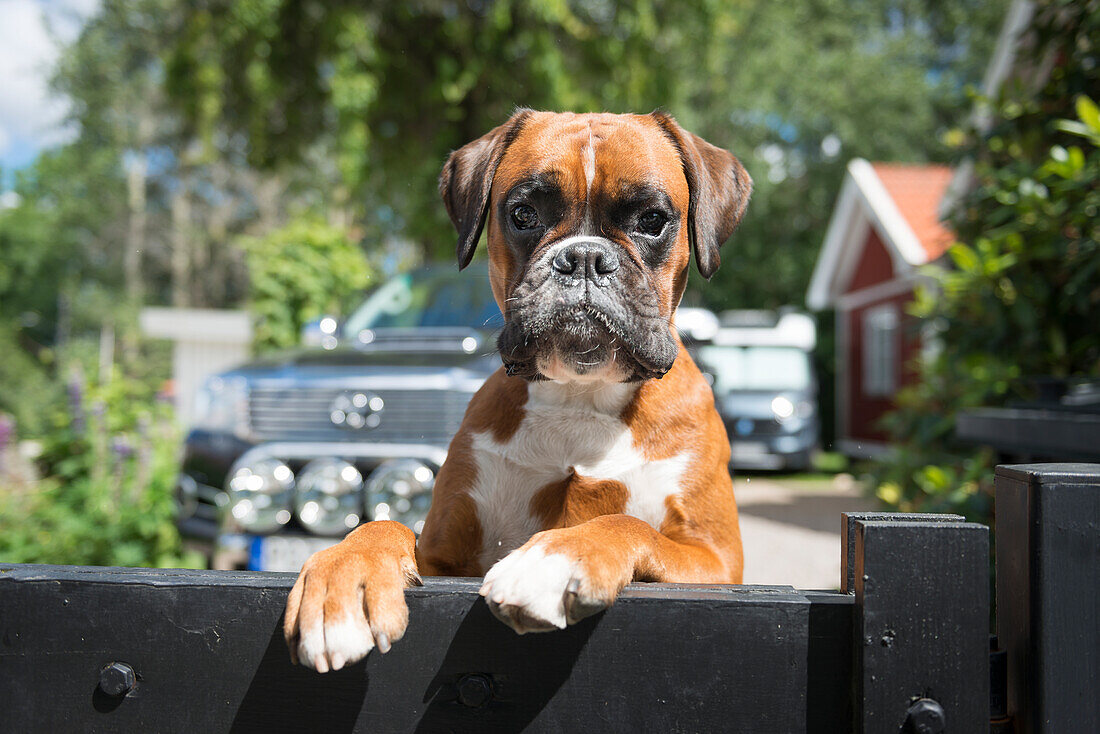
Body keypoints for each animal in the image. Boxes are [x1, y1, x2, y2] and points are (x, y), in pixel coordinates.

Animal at [281, 108, 756, 673]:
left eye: (652, 220)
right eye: (524, 214)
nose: (584, 258)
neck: (579, 397)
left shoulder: (715, 559)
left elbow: (626, 523)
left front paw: (556, 557)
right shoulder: (445, 559)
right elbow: (386, 527)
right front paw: (343, 578)